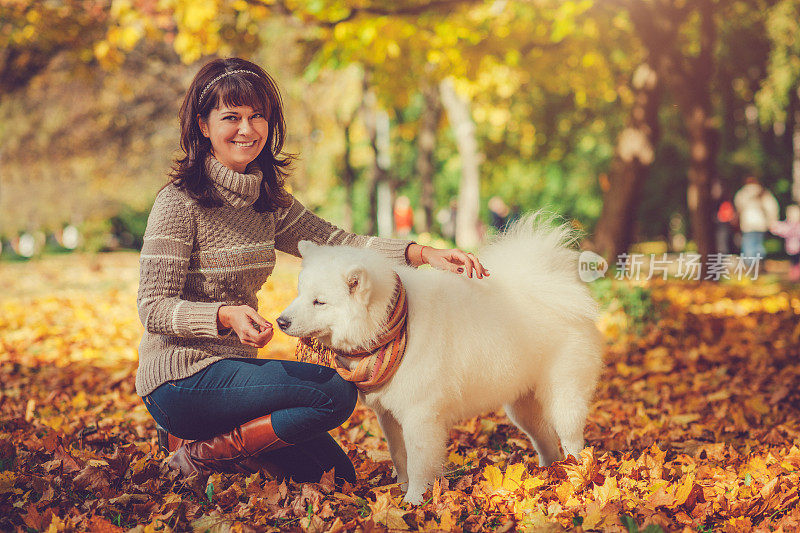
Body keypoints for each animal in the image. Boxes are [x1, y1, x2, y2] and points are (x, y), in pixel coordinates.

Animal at [278, 215, 604, 502]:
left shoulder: (420, 416)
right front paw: (401, 492)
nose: (281, 321)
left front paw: (414, 500)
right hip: (523, 406)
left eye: (319, 302)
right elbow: (399, 456)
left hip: (563, 394)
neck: (390, 325)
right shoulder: (389, 416)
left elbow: (419, 463)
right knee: (546, 440)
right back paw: (547, 476)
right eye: (300, 293)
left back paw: (574, 477)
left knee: (571, 439)